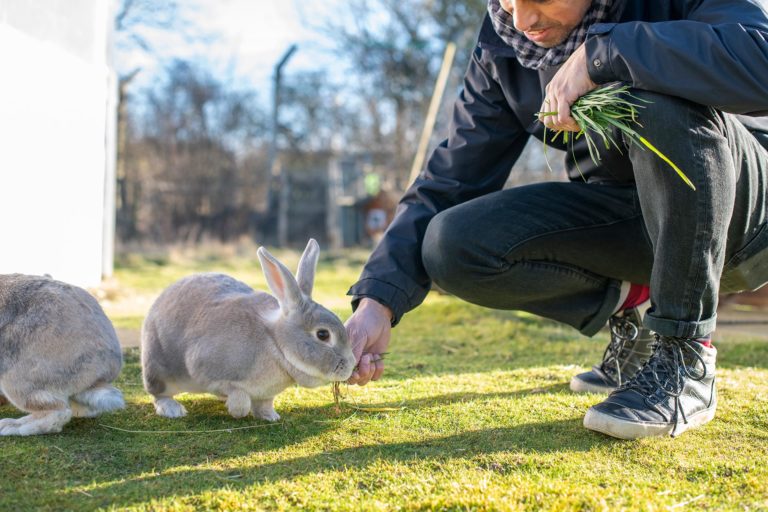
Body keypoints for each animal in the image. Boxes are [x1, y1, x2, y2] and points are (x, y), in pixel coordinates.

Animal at [141, 239, 356, 420]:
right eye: (323, 334)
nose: (351, 365)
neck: (275, 343)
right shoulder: (209, 371)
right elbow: (239, 399)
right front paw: (236, 410)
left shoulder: (266, 393)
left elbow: (264, 404)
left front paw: (270, 416)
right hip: (159, 370)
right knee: (158, 394)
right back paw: (172, 409)